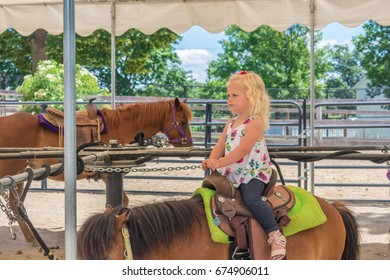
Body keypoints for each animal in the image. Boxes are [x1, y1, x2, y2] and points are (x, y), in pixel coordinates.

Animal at [0, 98, 193, 245]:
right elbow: (118, 203)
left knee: (15, 205)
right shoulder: (110, 172)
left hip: (20, 174)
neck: (122, 126)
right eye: (183, 122)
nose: (189, 145)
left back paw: (31, 238)